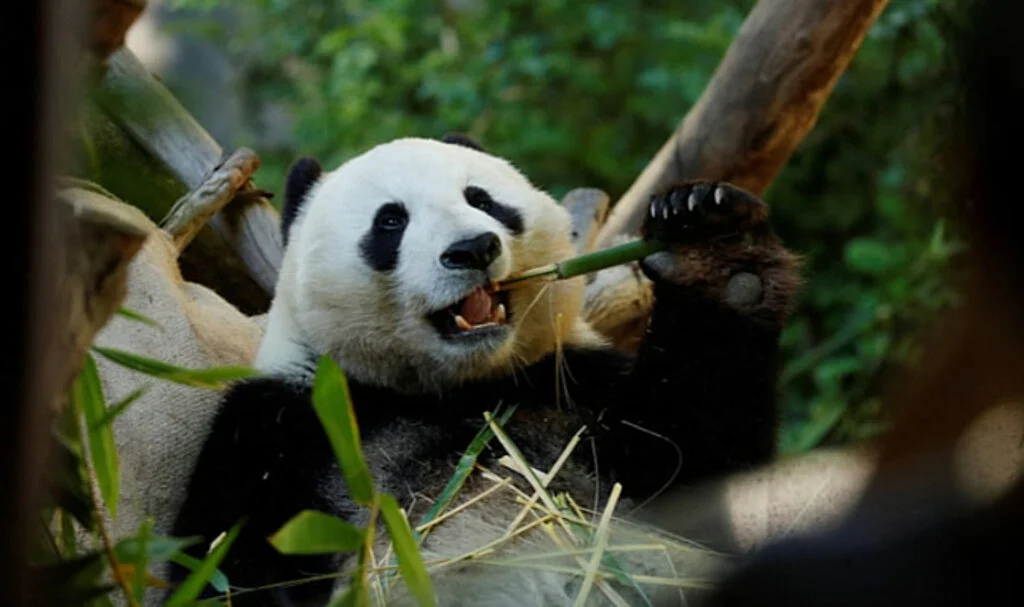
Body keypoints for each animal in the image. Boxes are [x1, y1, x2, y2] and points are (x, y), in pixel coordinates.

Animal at [169, 134, 801, 606]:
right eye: (390, 221)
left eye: (483, 199)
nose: (472, 248)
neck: (454, 387)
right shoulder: (283, 427)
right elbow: (224, 568)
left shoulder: (575, 384)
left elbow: (697, 460)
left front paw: (717, 255)